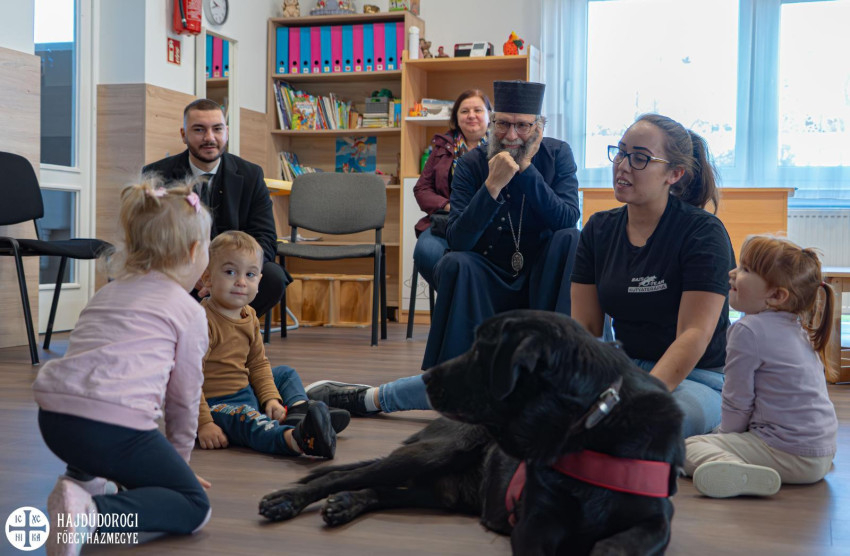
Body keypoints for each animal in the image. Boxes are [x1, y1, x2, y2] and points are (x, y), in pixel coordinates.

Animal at [260, 310, 684, 555]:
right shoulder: (536, 525)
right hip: (436, 452)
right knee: (346, 475)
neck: (591, 428)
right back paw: (288, 500)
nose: (425, 377)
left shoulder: (658, 521)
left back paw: (347, 503)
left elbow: (624, 544)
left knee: (380, 489)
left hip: (438, 492)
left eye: (481, 348)